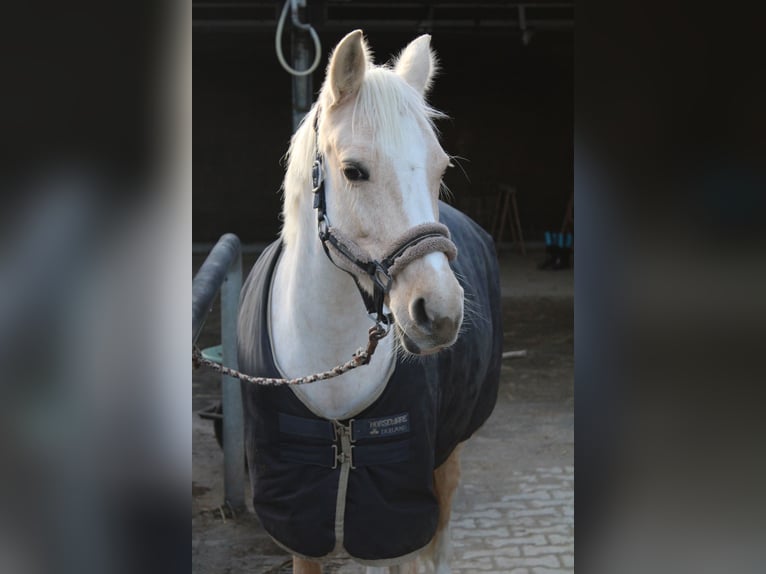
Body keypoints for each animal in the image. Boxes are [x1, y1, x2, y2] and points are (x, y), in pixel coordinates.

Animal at [237, 30, 502, 573]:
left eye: (440, 168)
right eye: (353, 170)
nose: (440, 312)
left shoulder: (399, 510)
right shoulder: (300, 521)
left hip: (449, 454)